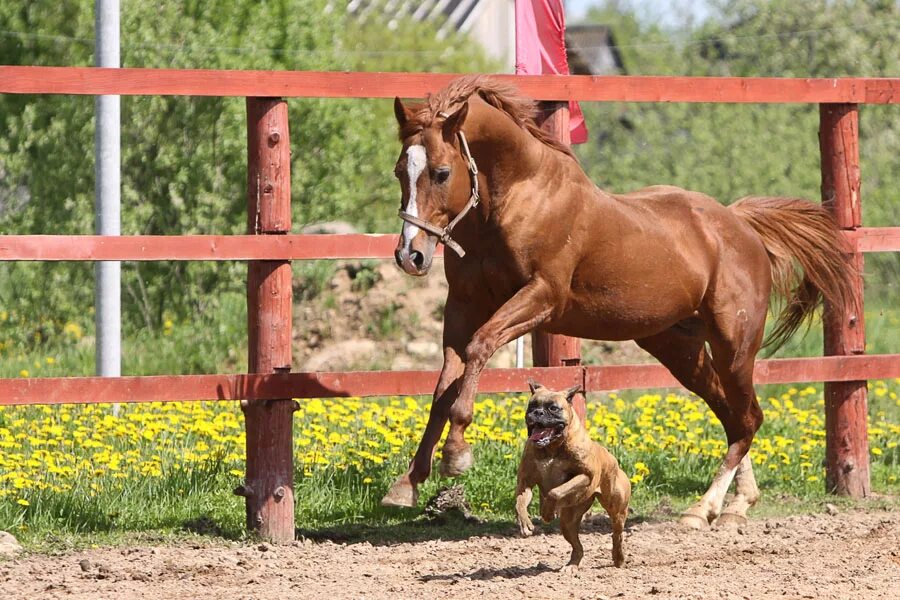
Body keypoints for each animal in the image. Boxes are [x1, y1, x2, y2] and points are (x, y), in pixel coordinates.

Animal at [382, 76, 856, 528]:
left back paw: (704, 509)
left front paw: (456, 454)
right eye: (400, 171)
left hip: (734, 347)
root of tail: (740, 224)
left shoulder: (540, 298)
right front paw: (408, 482)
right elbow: (445, 384)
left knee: (748, 419)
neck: (519, 198)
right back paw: (736, 505)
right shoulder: (463, 305)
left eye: (442, 173)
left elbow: (478, 350)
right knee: (735, 416)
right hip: (680, 349)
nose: (410, 255)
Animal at [512, 380, 632, 572]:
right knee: (577, 546)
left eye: (553, 408)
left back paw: (618, 558)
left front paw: (547, 512)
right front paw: (525, 523)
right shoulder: (525, 483)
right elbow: (520, 502)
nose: (537, 413)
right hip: (569, 521)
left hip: (617, 509)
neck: (552, 447)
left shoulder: (585, 476)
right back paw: (572, 565)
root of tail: (613, 460)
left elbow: (555, 492)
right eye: (532, 405)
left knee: (617, 534)